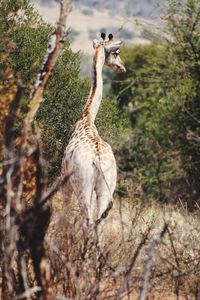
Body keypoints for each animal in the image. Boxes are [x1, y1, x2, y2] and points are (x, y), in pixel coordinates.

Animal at [61, 32, 126, 225]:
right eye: (117, 53)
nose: (123, 68)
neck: (87, 118)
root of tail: (97, 160)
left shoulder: (63, 178)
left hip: (83, 186)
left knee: (87, 219)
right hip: (106, 187)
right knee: (99, 220)